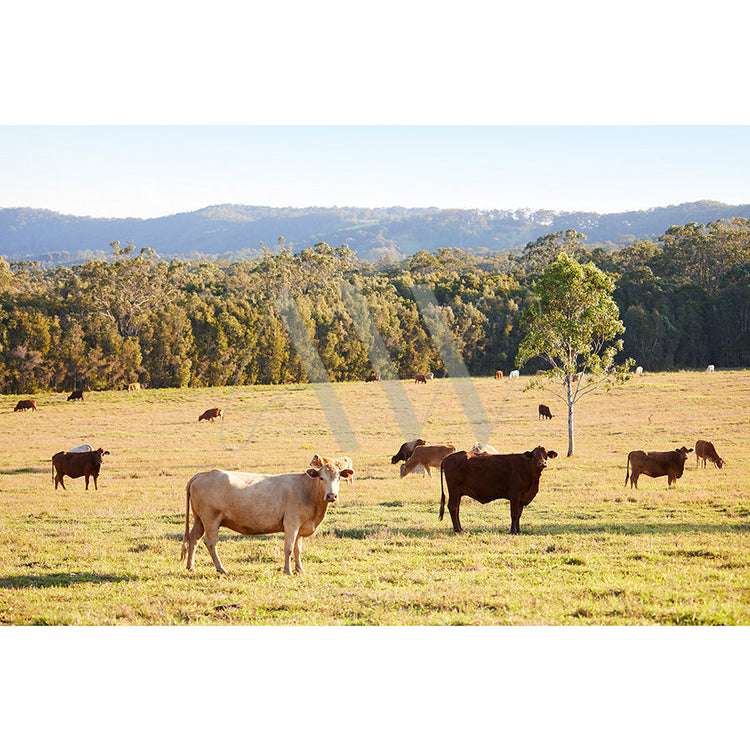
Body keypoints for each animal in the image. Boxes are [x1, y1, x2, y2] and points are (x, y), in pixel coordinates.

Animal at [181, 462, 353, 575]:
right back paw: (221, 569)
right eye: (321, 478)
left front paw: (300, 570)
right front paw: (288, 571)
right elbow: (288, 548)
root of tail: (205, 474)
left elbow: (297, 549)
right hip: (211, 519)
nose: (331, 495)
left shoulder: (300, 527)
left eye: (338, 477)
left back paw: (191, 567)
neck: (307, 490)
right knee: (210, 542)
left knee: (194, 539)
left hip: (199, 519)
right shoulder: (291, 524)